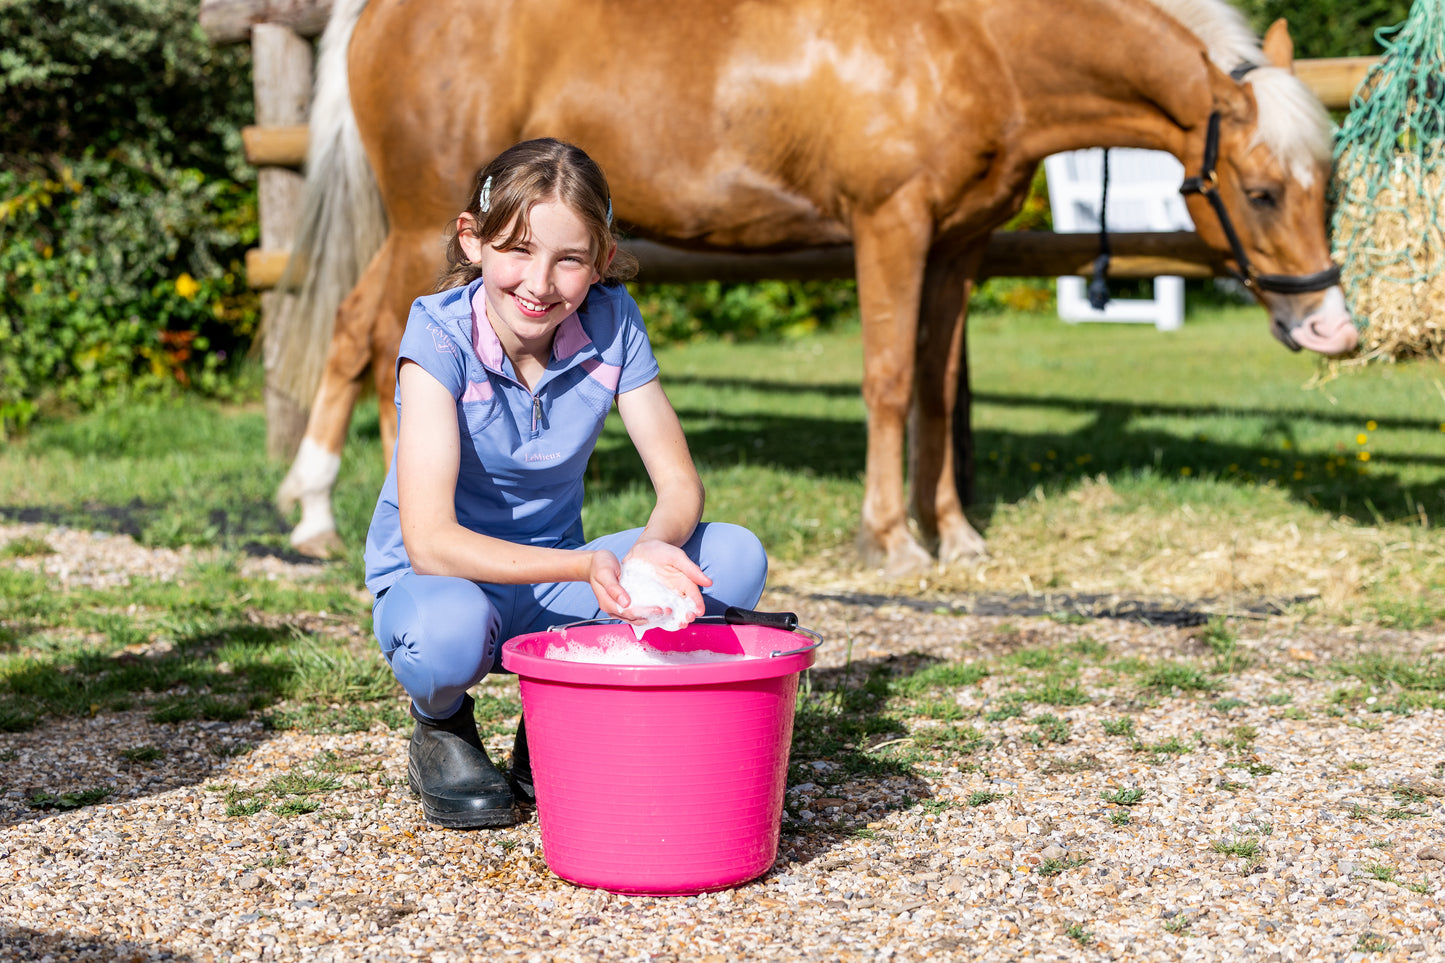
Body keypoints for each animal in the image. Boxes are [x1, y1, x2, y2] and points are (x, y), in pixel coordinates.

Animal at [273, 0, 1357, 576]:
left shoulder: (957, 248)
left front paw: (954, 533)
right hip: (430, 215)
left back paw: (317, 512)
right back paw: (337, 508)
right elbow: (886, 381)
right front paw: (891, 541)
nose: (1331, 330)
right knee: (371, 328)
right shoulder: (889, 226)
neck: (975, 43)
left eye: (1329, 183)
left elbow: (934, 391)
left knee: (356, 327)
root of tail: (377, 13)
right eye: (1262, 190)